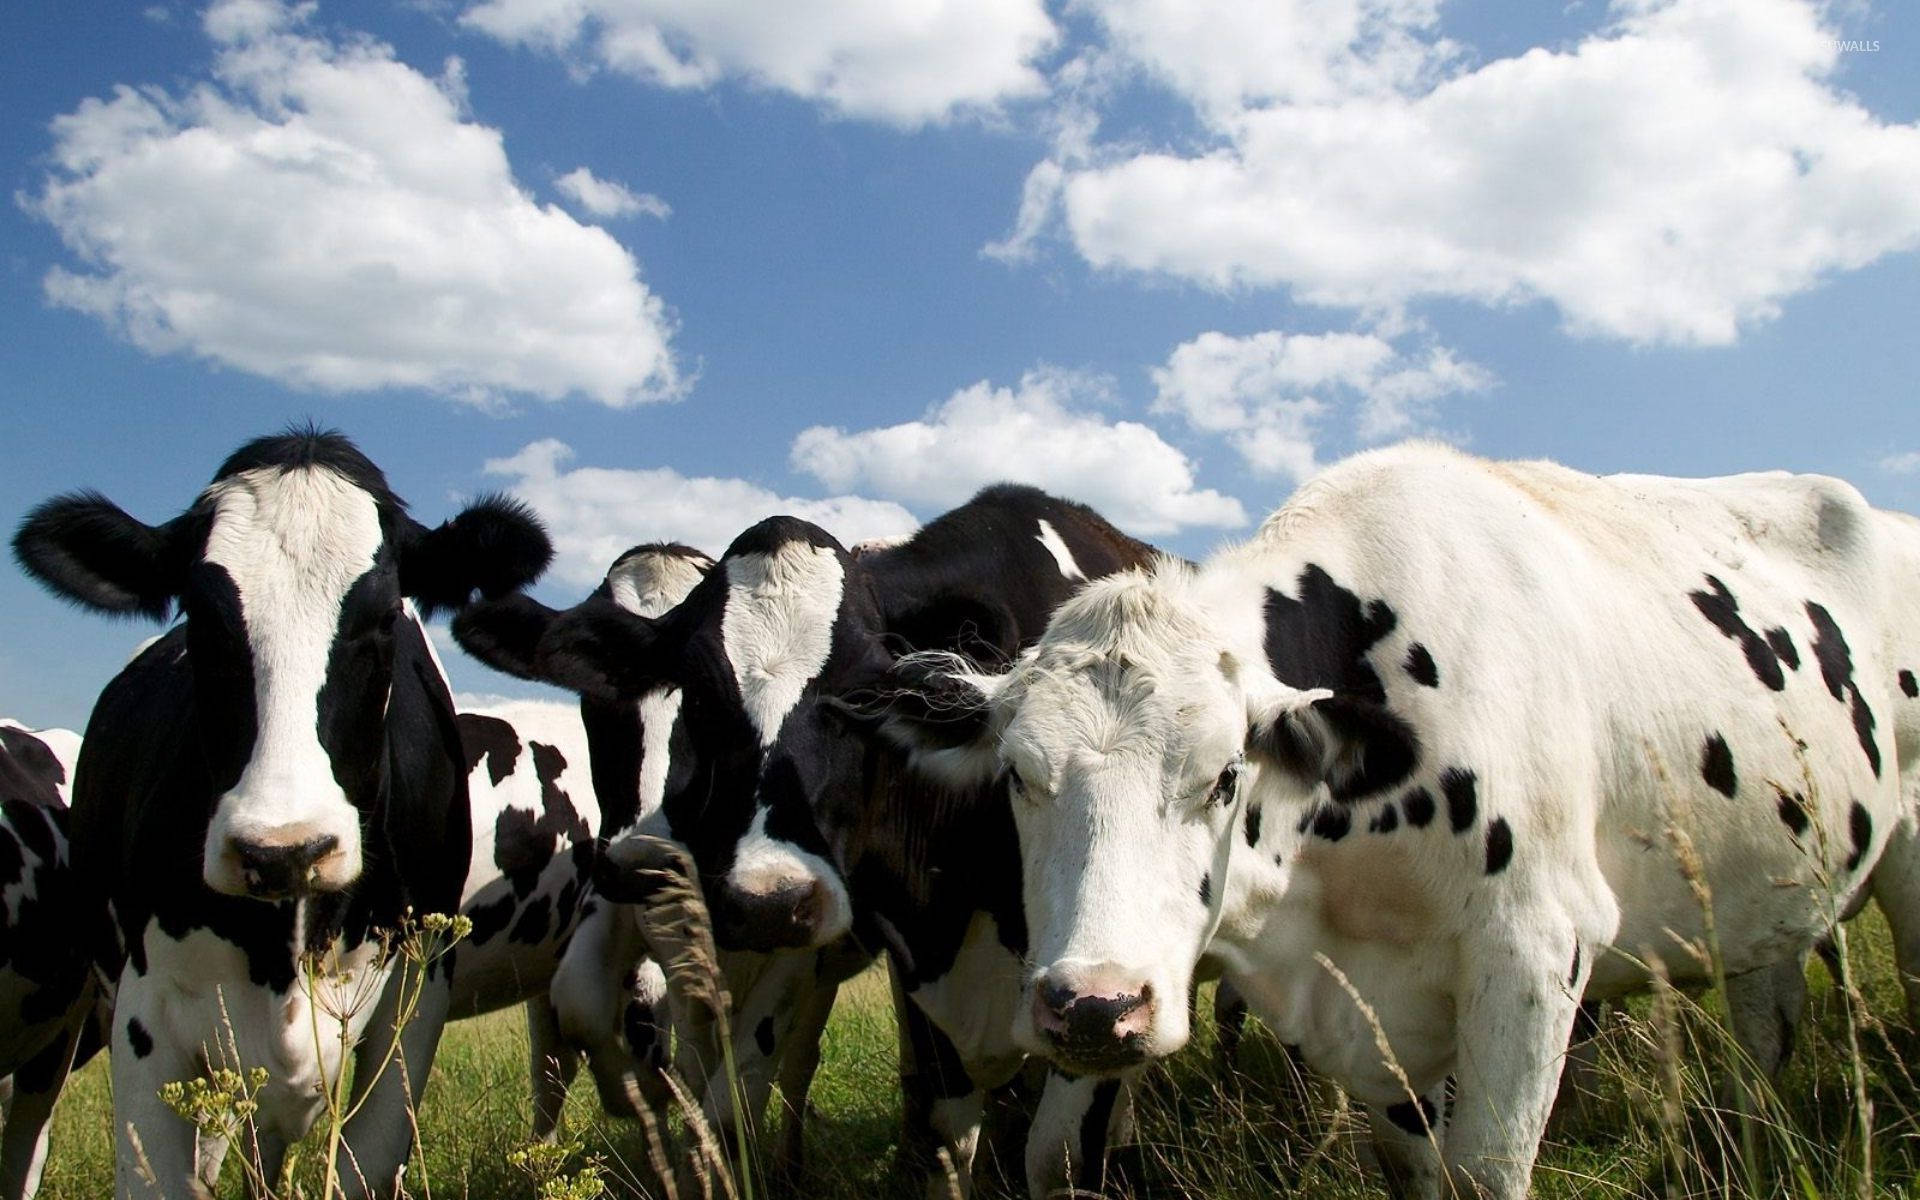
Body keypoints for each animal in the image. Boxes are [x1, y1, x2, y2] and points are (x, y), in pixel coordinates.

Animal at [864, 445, 1920, 1198]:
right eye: (1018, 776)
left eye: (1225, 776)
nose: (1093, 1005)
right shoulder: (1376, 1022)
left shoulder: (1536, 949)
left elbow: (1483, 1175)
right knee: (1765, 1029)